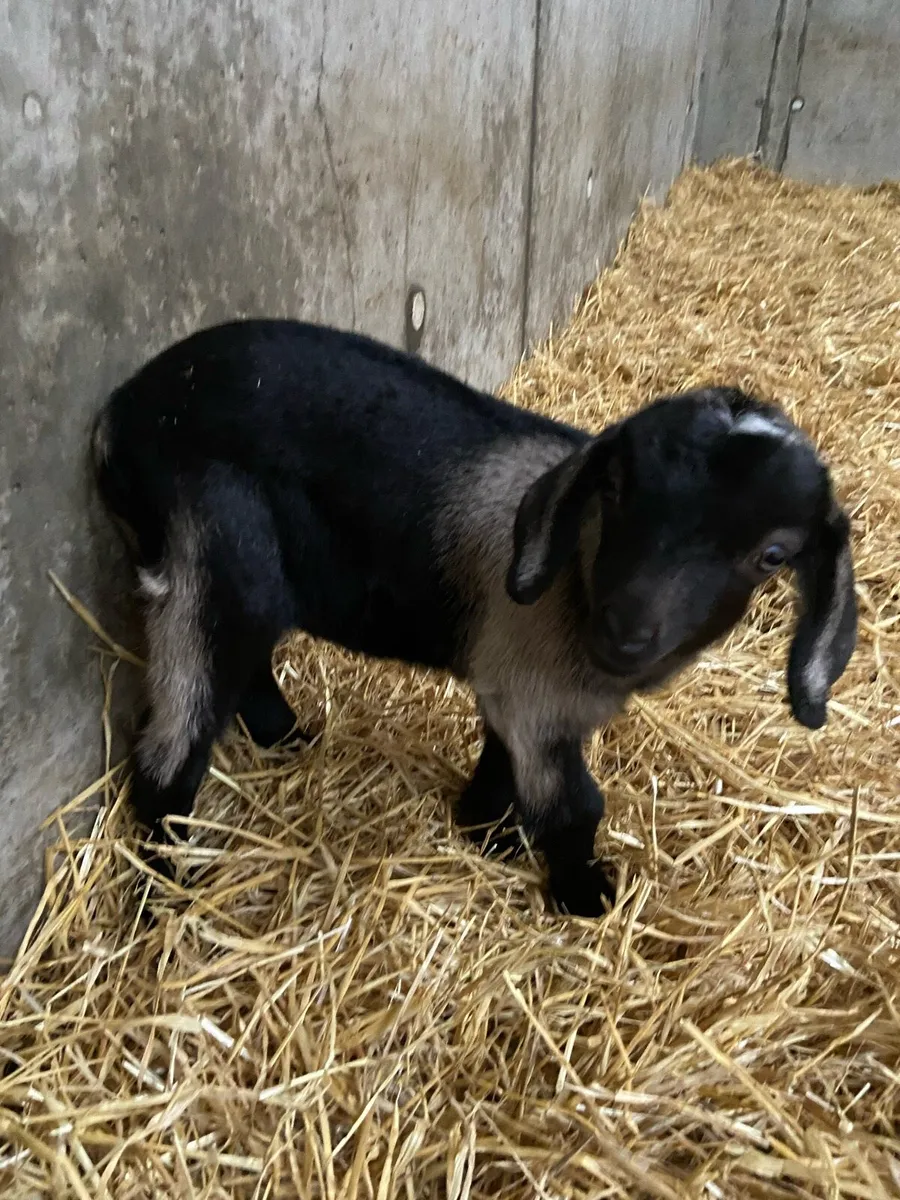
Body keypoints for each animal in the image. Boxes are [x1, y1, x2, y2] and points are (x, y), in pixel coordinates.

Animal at [92, 320, 857, 915]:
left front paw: (483, 831)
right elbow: (574, 804)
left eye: (773, 554)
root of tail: (122, 415)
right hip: (212, 555)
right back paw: (162, 891)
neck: (575, 582)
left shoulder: (514, 684)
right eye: (614, 489)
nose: (625, 631)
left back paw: (287, 740)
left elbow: (501, 758)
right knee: (176, 734)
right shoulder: (536, 696)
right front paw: (583, 895)